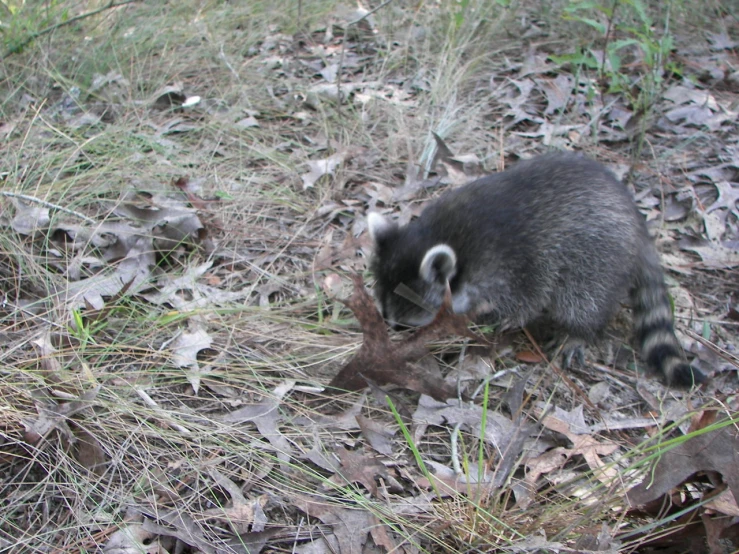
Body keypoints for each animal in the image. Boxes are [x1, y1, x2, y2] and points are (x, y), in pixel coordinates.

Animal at [368, 150, 704, 384]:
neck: (440, 236)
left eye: (404, 327)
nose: (386, 345)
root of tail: (637, 220)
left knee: (583, 297)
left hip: (599, 253)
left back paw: (579, 330)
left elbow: (527, 297)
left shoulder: (513, 264)